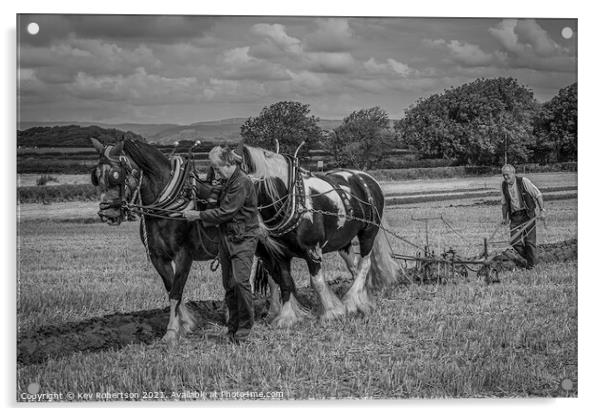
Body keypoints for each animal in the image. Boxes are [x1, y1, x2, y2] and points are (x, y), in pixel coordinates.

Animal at [86, 137, 223, 344]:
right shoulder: (158, 257)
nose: (107, 213)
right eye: (96, 176)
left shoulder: (184, 255)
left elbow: (176, 292)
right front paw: (186, 325)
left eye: (116, 175)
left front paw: (172, 333)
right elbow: (171, 289)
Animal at [234, 143, 398, 328]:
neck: (292, 201)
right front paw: (286, 316)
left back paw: (351, 300)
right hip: (344, 242)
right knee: (354, 266)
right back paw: (361, 297)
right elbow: (284, 282)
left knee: (365, 264)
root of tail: (367, 178)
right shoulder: (279, 254)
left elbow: (317, 282)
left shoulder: (312, 250)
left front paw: (332, 312)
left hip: (368, 233)